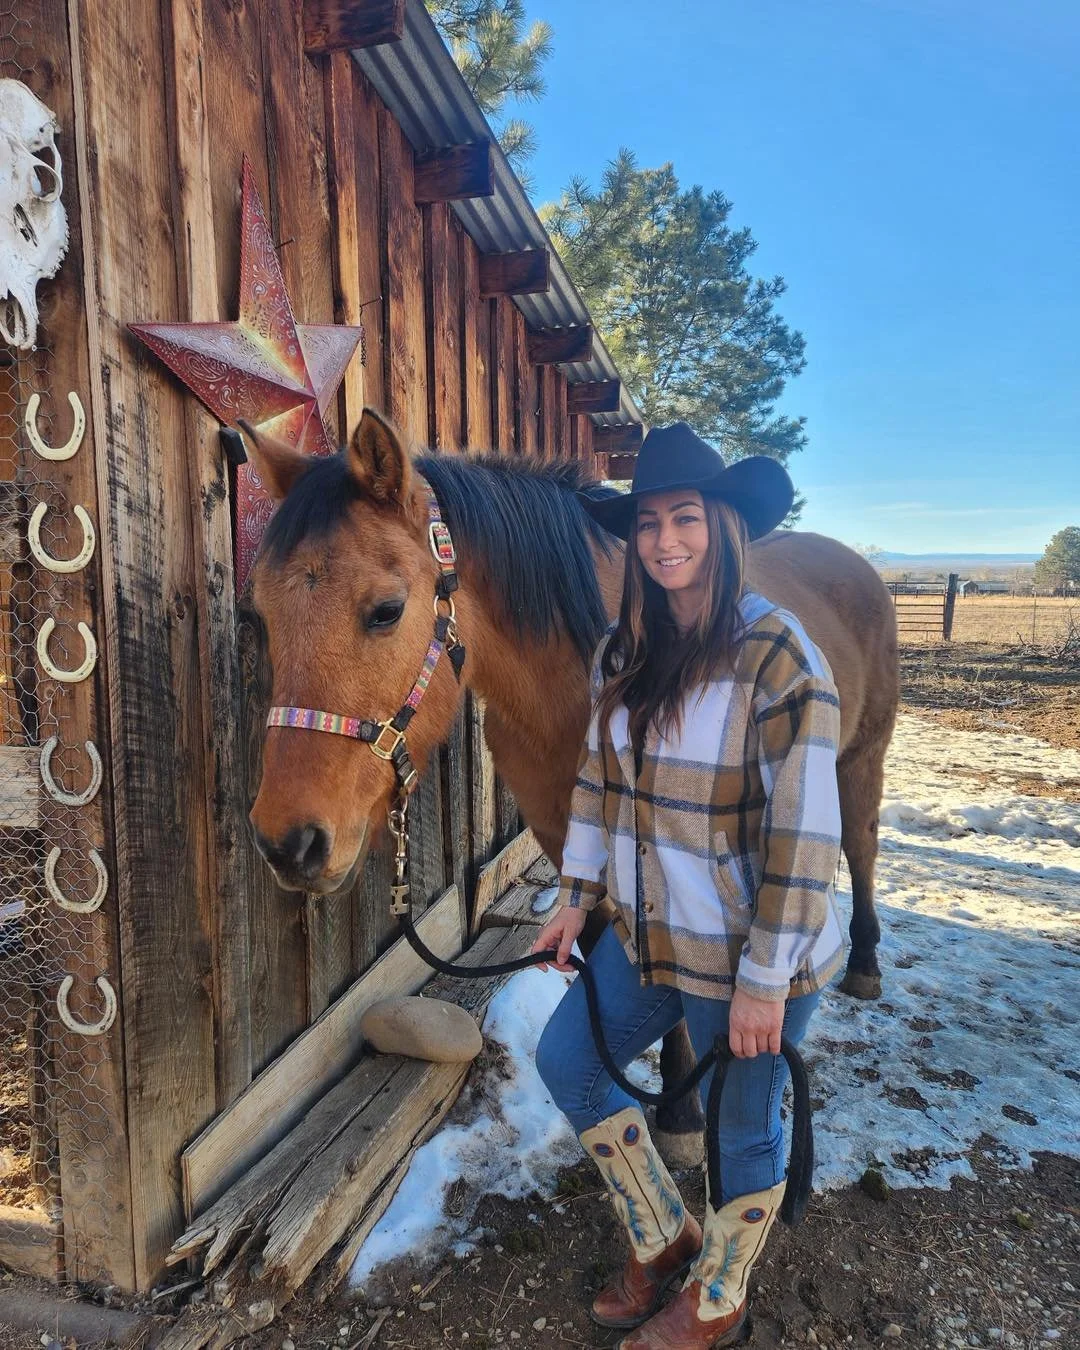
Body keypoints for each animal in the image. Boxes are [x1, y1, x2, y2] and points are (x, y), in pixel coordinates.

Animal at [243, 408, 898, 1155]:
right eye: (259, 615)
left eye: (385, 610)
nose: (288, 843)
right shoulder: (569, 839)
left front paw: (679, 1112)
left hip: (859, 758)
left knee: (860, 846)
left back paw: (865, 961)